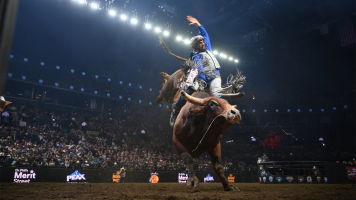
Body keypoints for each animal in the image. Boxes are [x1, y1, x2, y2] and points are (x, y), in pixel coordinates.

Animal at [156, 36, 243, 191]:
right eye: (213, 104)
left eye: (227, 103)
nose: (235, 112)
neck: (198, 125)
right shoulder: (176, 142)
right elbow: (187, 158)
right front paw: (192, 180)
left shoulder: (215, 144)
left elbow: (219, 166)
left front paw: (228, 185)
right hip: (167, 88)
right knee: (164, 88)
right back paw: (161, 87)